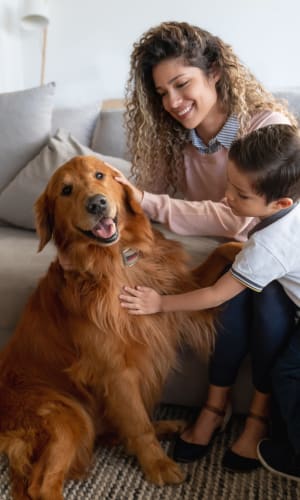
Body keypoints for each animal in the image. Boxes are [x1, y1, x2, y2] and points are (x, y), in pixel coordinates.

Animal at [0, 155, 240, 496]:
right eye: (66, 190)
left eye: (100, 175)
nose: (97, 203)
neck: (116, 260)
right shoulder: (115, 371)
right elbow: (137, 424)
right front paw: (158, 464)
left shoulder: (179, 290)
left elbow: (222, 252)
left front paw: (250, 247)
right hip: (68, 416)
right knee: (42, 485)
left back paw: (168, 424)